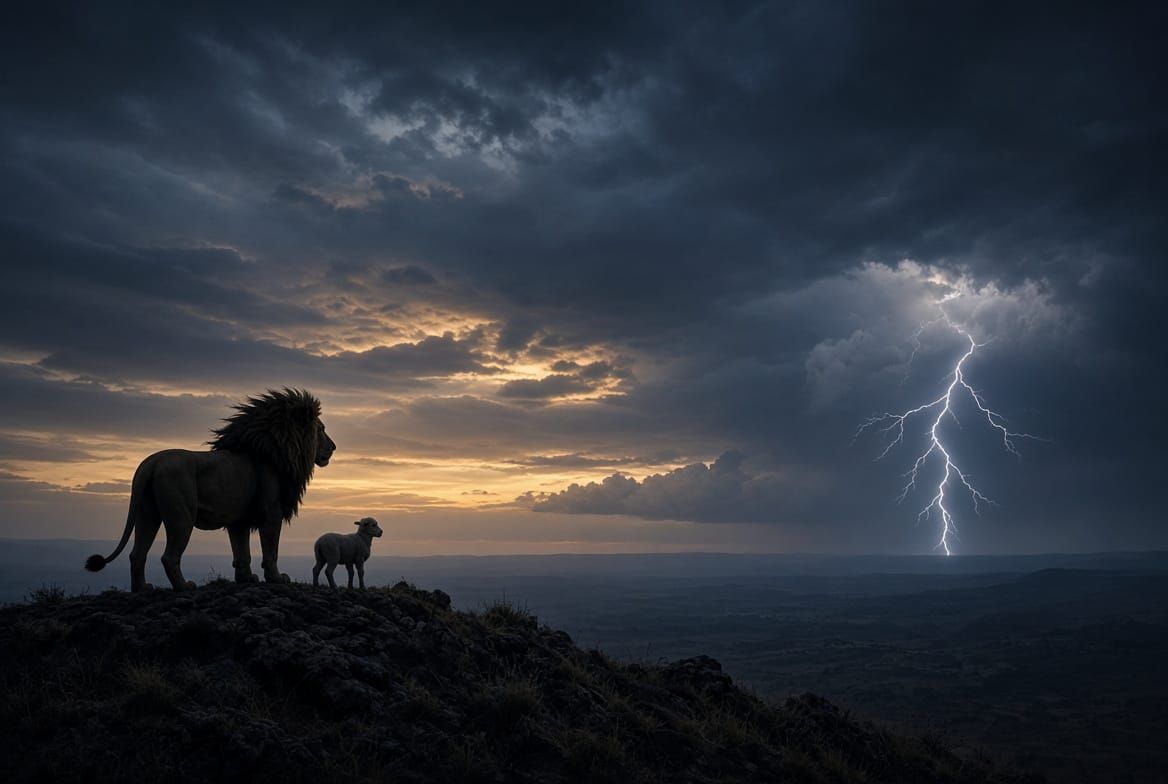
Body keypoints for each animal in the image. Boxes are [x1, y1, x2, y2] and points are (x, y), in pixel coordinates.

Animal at [85, 388, 336, 591]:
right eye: (322, 429)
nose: (334, 447)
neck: (277, 449)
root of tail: (151, 463)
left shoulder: (239, 520)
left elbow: (242, 552)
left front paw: (246, 578)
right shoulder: (272, 513)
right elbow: (271, 551)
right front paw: (276, 578)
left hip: (147, 514)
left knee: (137, 554)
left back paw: (142, 589)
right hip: (181, 516)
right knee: (169, 557)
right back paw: (183, 586)